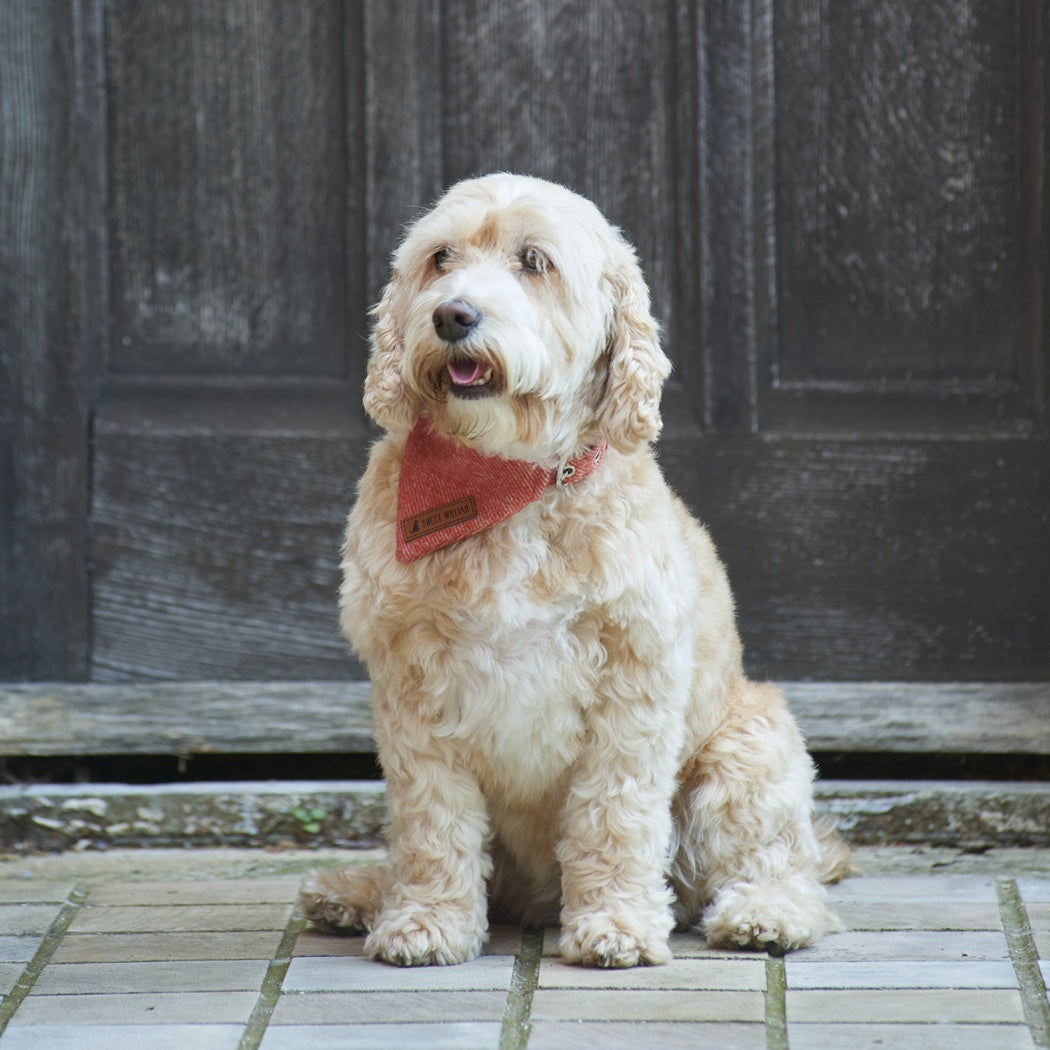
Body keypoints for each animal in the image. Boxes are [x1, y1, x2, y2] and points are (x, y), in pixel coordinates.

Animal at [300, 172, 848, 965]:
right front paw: (426, 920)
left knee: (779, 863)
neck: (510, 483)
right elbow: (430, 820)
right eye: (440, 258)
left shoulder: (632, 685)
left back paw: (766, 913)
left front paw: (615, 923)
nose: (452, 314)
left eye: (534, 261)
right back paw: (354, 892)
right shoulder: (411, 689)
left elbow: (613, 816)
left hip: (750, 745)